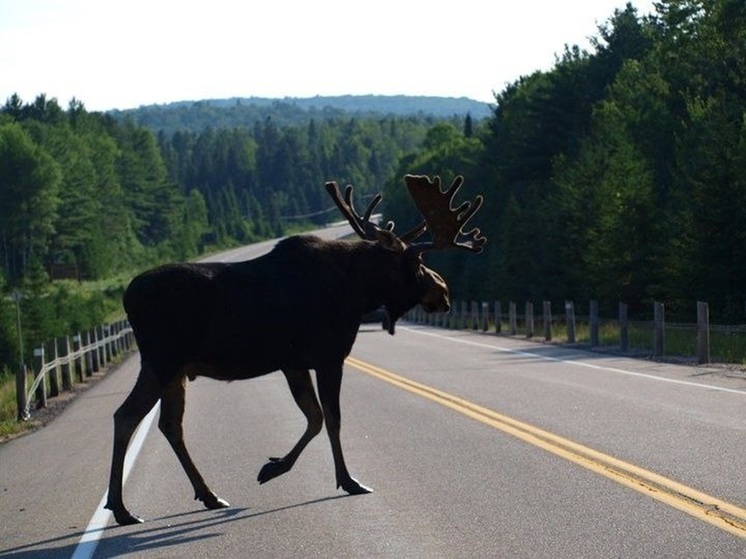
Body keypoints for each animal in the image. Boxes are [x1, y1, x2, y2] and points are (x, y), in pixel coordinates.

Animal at [107, 174, 486, 524]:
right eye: (418, 265)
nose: (444, 293)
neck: (361, 291)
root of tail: (127, 298)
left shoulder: (294, 362)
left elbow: (314, 417)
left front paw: (273, 467)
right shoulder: (329, 356)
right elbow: (332, 418)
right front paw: (348, 481)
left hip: (176, 370)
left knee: (170, 425)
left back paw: (209, 495)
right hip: (162, 361)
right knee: (126, 415)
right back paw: (122, 508)